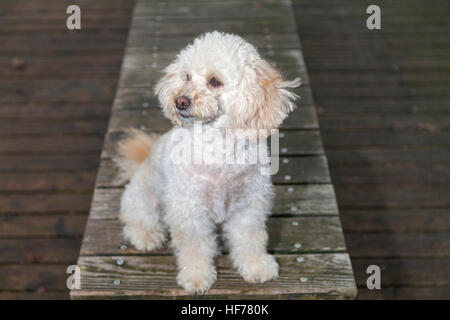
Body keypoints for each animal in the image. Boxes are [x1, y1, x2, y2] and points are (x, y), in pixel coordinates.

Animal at [114, 31, 300, 294]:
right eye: (187, 76)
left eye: (214, 81)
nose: (180, 101)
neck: (218, 148)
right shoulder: (189, 210)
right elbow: (194, 247)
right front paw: (197, 277)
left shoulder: (248, 205)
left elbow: (251, 239)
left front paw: (257, 267)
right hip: (142, 198)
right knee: (135, 219)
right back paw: (147, 236)